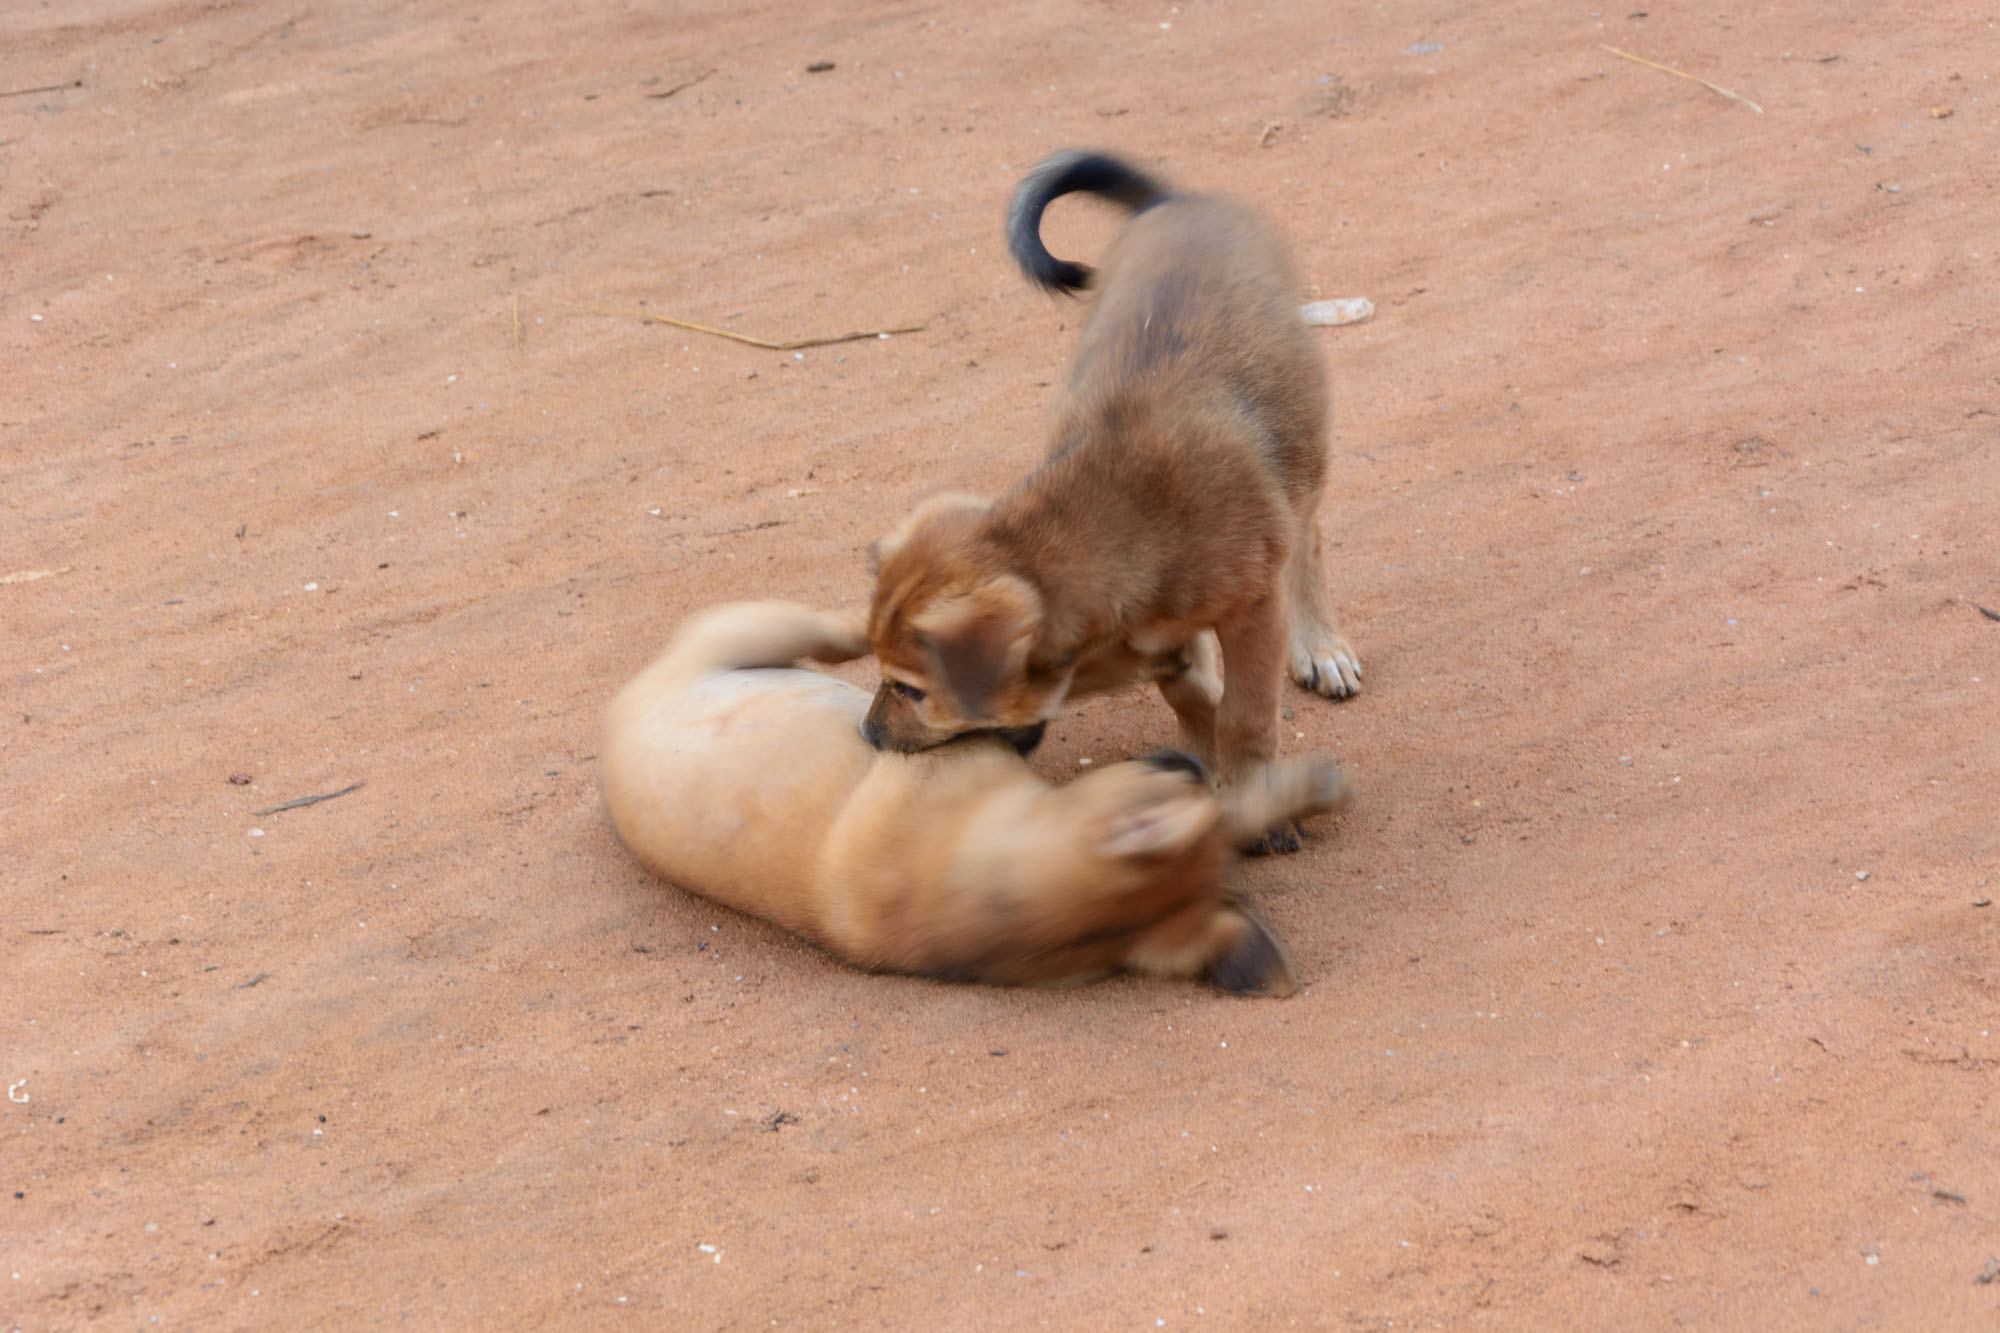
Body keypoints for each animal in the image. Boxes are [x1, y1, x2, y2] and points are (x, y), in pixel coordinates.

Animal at [592, 600, 1344, 984]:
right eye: (1160, 779)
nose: (1184, 763)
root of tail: (618, 710)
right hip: (740, 633)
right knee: (822, 628)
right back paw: (862, 631)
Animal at [864, 150, 1360, 844]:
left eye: (911, 690)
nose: (866, 734)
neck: (1118, 519)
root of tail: (1172, 202)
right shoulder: (1168, 641)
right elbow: (1196, 698)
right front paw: (1210, 767)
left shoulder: (1256, 614)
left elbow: (1246, 715)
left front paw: (1254, 795)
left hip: (1304, 447)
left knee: (1307, 540)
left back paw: (1321, 646)